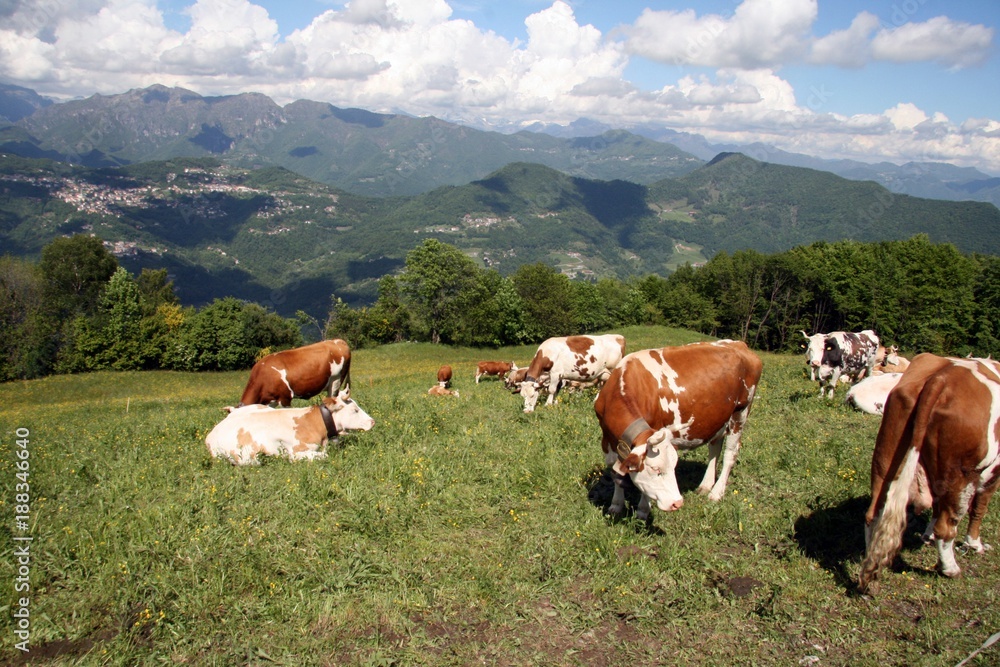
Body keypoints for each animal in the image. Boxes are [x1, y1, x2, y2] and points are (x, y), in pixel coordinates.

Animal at [592, 342, 764, 524]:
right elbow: (615, 470)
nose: (677, 503)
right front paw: (616, 505)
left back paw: (716, 493)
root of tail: (739, 344)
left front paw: (643, 510)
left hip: (740, 412)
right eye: (655, 469)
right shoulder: (608, 439)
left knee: (730, 454)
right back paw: (705, 485)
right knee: (714, 448)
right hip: (719, 418)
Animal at [860, 352, 1000, 592]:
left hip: (886, 455)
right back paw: (950, 569)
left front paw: (927, 535)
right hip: (961, 474)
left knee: (873, 512)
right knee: (948, 525)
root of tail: (940, 378)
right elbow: (979, 509)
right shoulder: (993, 472)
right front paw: (974, 544)